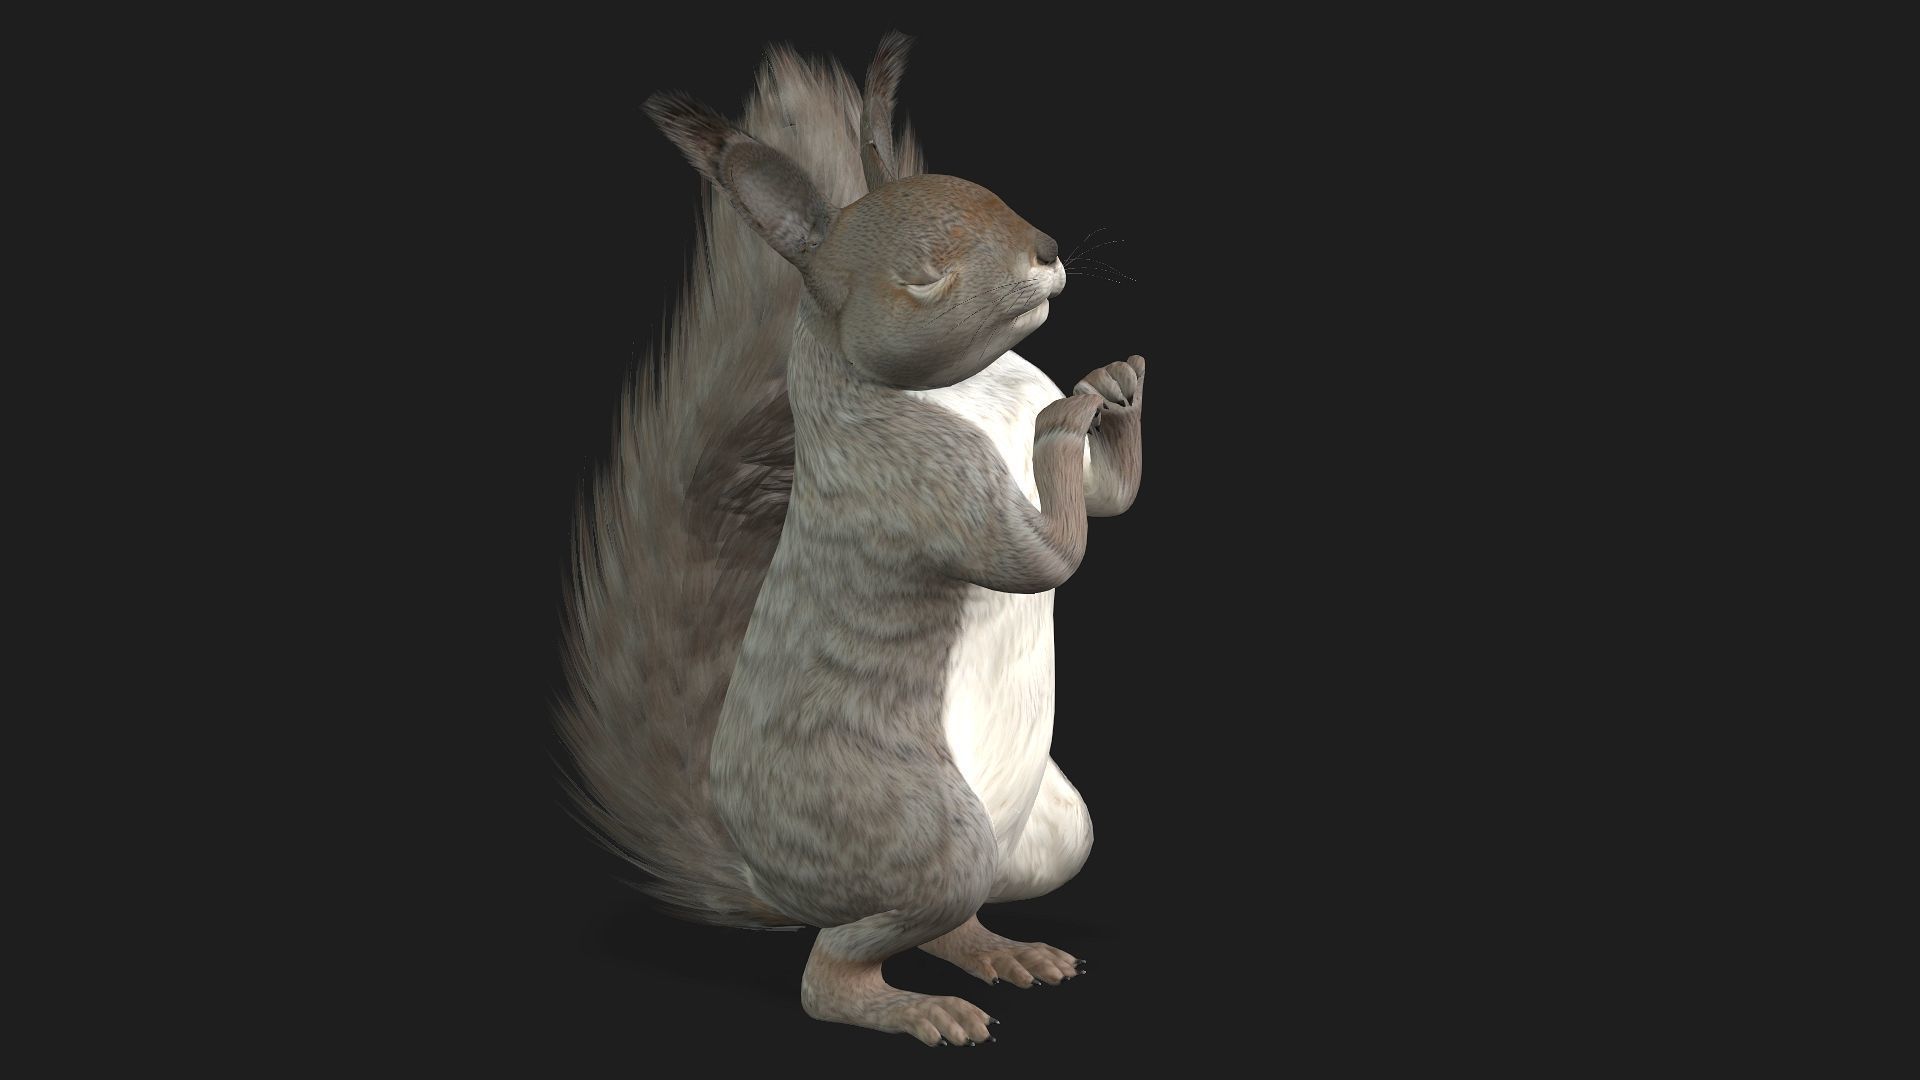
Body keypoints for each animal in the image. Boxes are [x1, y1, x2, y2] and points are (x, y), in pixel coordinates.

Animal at [556, 32, 1146, 1047]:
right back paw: (920, 1010)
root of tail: (778, 883)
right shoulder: (914, 481)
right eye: (921, 279)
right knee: (834, 972)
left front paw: (1117, 385)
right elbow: (1037, 559)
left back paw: (1002, 953)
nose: (1046, 250)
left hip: (1052, 835)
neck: (968, 386)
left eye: (988, 190)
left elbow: (1109, 499)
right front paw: (1065, 423)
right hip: (920, 827)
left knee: (946, 923)